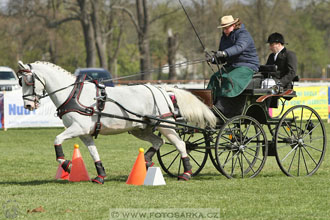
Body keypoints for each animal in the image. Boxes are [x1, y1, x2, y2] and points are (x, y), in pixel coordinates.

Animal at [17, 61, 217, 183]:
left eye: (28, 80)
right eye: (20, 81)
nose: (28, 105)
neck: (73, 94)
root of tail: (161, 89)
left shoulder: (77, 128)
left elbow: (57, 140)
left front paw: (67, 164)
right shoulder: (84, 133)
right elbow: (94, 153)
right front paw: (100, 175)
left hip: (165, 125)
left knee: (181, 145)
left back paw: (186, 173)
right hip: (141, 129)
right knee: (158, 142)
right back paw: (146, 161)